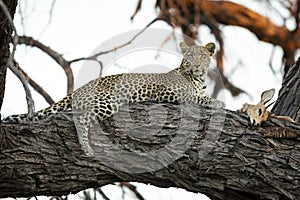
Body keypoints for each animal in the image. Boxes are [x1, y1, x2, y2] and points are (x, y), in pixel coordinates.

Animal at [2, 41, 225, 156]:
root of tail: (79, 88)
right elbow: (200, 99)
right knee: (80, 119)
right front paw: (219, 102)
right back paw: (86, 147)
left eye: (202, 57)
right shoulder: (177, 94)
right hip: (108, 101)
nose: (196, 65)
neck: (197, 79)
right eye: (190, 57)